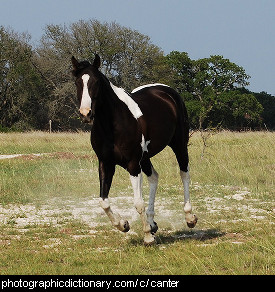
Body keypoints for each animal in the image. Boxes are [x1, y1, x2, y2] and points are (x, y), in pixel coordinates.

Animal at [70, 54, 196, 244]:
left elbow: (138, 203)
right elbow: (103, 201)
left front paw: (147, 237)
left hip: (179, 145)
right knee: (154, 178)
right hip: (145, 157)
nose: (86, 113)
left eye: (96, 82)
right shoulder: (106, 163)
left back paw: (189, 218)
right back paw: (152, 223)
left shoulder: (132, 164)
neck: (113, 124)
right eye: (77, 82)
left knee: (184, 174)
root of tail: (168, 92)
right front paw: (123, 225)